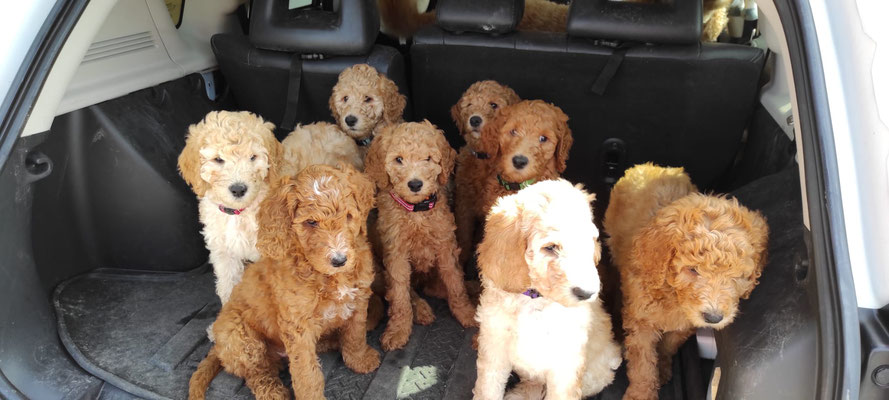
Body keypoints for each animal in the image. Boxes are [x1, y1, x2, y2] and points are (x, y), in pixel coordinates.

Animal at [177, 110, 282, 304]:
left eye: (252, 157)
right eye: (218, 159)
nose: (238, 189)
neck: (239, 213)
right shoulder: (223, 251)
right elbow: (228, 281)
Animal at [188, 164, 380, 400]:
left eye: (348, 216)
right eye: (311, 222)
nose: (339, 260)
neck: (328, 276)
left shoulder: (358, 301)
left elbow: (356, 336)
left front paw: (360, 360)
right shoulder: (298, 326)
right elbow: (306, 372)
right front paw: (311, 396)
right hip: (241, 338)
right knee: (256, 372)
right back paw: (273, 391)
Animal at [364, 120, 478, 351]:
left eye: (428, 158)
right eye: (398, 159)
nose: (415, 184)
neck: (417, 212)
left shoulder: (445, 245)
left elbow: (455, 282)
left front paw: (466, 312)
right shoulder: (396, 254)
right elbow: (399, 294)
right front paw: (398, 330)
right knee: (407, 291)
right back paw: (421, 309)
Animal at [473, 179, 621, 400]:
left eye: (588, 242)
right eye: (550, 247)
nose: (587, 294)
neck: (535, 300)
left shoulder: (566, 364)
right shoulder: (494, 346)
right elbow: (488, 389)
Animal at [603, 163, 769, 400]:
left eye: (737, 274)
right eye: (692, 269)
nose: (714, 317)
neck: (672, 294)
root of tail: (652, 166)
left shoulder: (686, 324)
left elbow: (668, 346)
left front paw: (663, 367)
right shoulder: (642, 320)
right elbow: (642, 363)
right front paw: (641, 393)